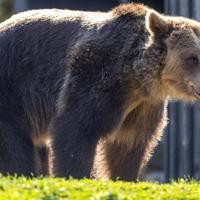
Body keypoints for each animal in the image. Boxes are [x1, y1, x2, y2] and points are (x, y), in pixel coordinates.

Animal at [0, 2, 199, 181]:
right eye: (193, 58)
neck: (136, 78)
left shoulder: (143, 106)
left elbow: (127, 146)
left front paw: (124, 177)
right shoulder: (96, 75)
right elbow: (75, 128)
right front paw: (75, 175)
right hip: (13, 89)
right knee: (15, 143)